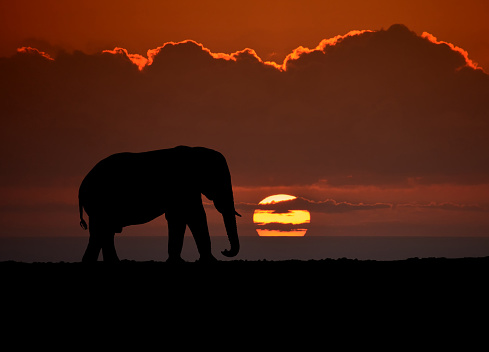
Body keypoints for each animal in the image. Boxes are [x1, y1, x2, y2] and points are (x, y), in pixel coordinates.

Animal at [78, 144, 240, 262]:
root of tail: (81, 187)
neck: (195, 151)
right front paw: (211, 261)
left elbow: (178, 217)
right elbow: (195, 215)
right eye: (219, 180)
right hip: (99, 202)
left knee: (104, 232)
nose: (224, 250)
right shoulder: (184, 185)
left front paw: (176, 261)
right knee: (101, 232)